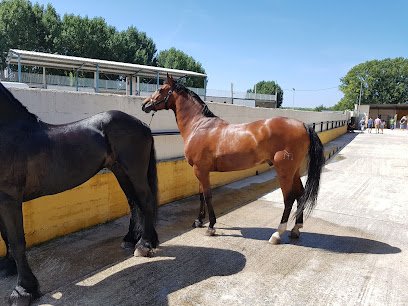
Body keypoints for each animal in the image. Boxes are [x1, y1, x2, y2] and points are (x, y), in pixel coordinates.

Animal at [0, 82, 159, 306]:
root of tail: (142, 125)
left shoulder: (9, 198)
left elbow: (16, 242)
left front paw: (23, 290)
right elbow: (5, 235)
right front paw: (8, 267)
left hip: (134, 171)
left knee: (145, 201)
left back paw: (144, 245)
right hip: (121, 171)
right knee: (134, 203)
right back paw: (133, 239)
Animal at [142, 75, 324, 245]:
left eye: (161, 89)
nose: (144, 104)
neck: (199, 126)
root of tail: (303, 125)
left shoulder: (200, 170)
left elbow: (207, 196)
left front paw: (211, 226)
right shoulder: (200, 170)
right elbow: (201, 195)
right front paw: (199, 221)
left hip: (284, 171)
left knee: (289, 198)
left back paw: (277, 234)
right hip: (294, 171)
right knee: (300, 194)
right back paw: (296, 229)